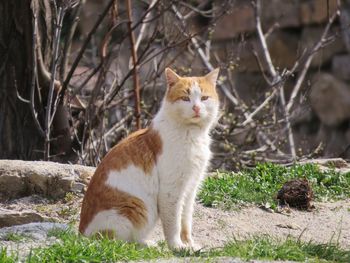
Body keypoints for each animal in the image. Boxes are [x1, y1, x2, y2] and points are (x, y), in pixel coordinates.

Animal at [79, 67, 219, 250]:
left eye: (204, 98)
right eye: (185, 98)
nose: (196, 108)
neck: (192, 133)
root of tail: (81, 235)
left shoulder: (190, 188)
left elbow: (186, 222)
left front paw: (190, 244)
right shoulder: (171, 190)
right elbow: (174, 224)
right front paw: (177, 246)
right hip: (136, 209)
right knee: (125, 243)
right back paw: (150, 245)